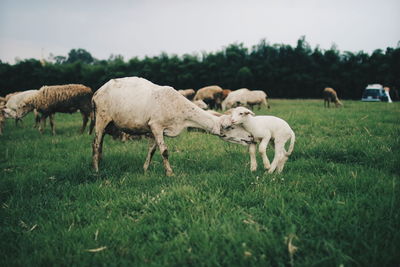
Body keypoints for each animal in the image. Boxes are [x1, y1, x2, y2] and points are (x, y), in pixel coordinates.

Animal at [92, 77, 252, 176]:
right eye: (231, 127)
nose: (250, 137)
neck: (183, 115)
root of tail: (97, 92)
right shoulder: (156, 125)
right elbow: (164, 151)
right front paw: (169, 173)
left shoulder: (152, 129)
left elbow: (151, 150)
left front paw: (145, 170)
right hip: (101, 117)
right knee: (96, 144)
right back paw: (96, 169)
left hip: (109, 123)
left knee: (100, 144)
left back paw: (100, 163)